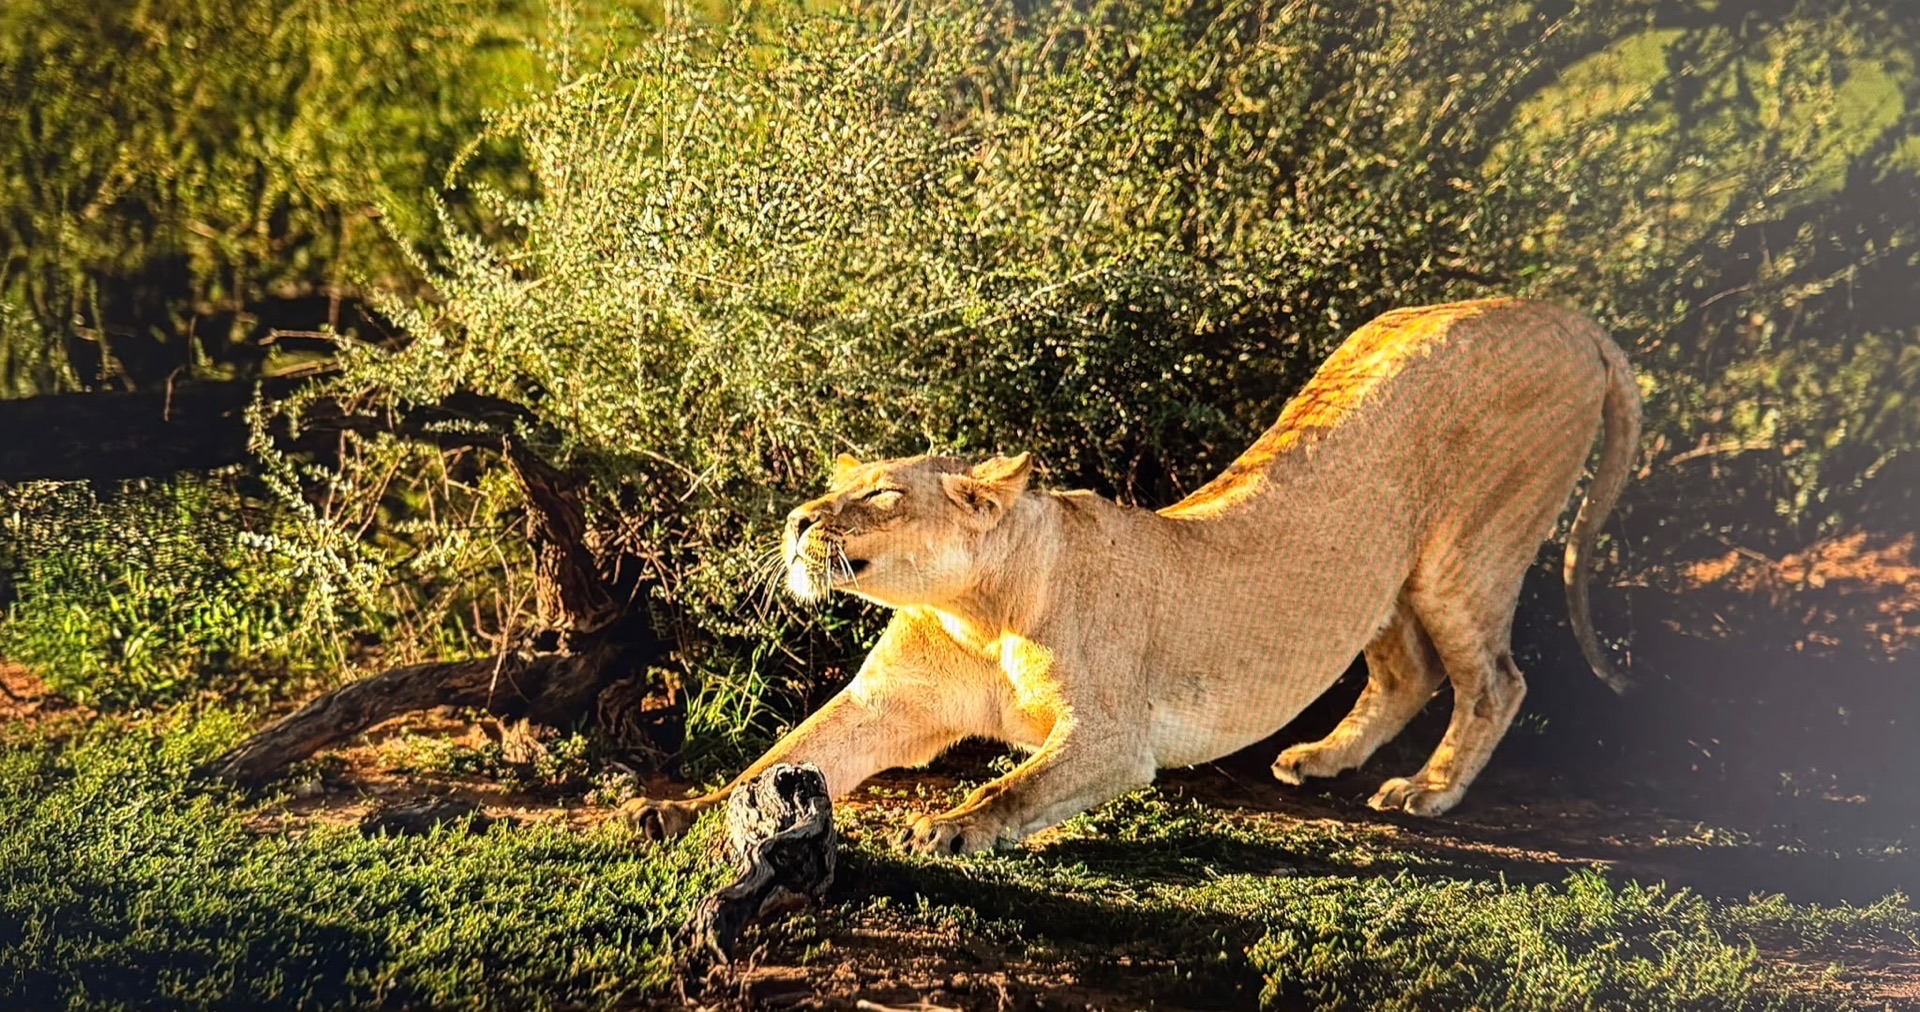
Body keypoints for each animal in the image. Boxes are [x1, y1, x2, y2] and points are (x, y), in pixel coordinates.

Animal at [625, 297, 1641, 855]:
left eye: (878, 495)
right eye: (834, 486)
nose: (796, 521)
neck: (973, 614)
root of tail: (1564, 316)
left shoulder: (1115, 738)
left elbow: (1016, 785)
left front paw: (952, 824)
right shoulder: (886, 704)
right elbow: (783, 758)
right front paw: (682, 809)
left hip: (1467, 553)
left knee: (1496, 680)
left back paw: (1425, 791)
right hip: (1381, 572)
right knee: (1409, 672)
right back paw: (1318, 759)